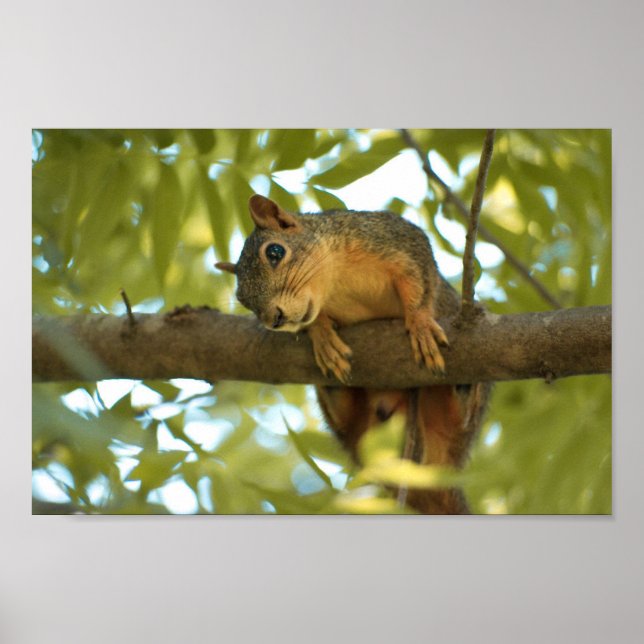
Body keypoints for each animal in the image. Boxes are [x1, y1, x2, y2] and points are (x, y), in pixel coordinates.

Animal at [216, 194, 491, 514]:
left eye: (275, 252)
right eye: (242, 299)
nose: (274, 319)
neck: (334, 282)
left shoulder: (396, 239)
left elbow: (419, 283)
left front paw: (420, 322)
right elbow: (315, 321)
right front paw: (322, 335)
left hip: (461, 420)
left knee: (459, 417)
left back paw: (463, 387)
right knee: (346, 416)